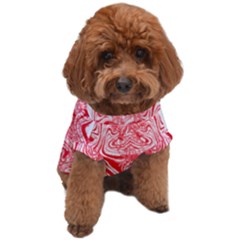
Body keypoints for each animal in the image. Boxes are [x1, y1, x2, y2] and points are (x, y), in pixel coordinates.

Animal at [57, 2, 182, 237]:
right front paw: (80, 224)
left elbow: (155, 177)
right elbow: (83, 192)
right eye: (106, 55)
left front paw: (157, 202)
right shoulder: (87, 155)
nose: (124, 83)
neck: (124, 114)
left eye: (140, 52)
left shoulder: (156, 145)